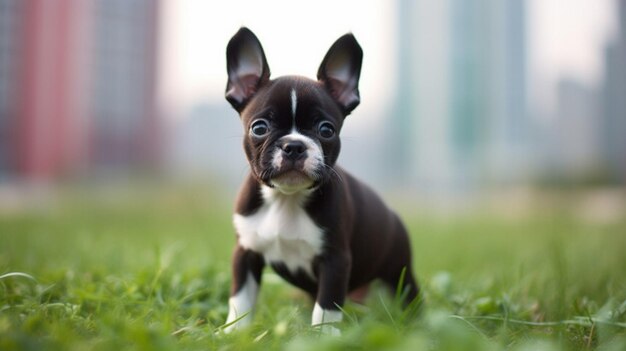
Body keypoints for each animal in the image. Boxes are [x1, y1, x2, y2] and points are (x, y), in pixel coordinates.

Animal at [222, 27, 416, 336]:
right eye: (259, 127)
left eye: (326, 130)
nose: (294, 146)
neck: (286, 199)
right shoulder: (245, 253)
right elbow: (240, 298)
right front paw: (234, 333)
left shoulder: (335, 261)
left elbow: (327, 306)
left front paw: (324, 337)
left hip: (399, 270)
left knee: (409, 295)